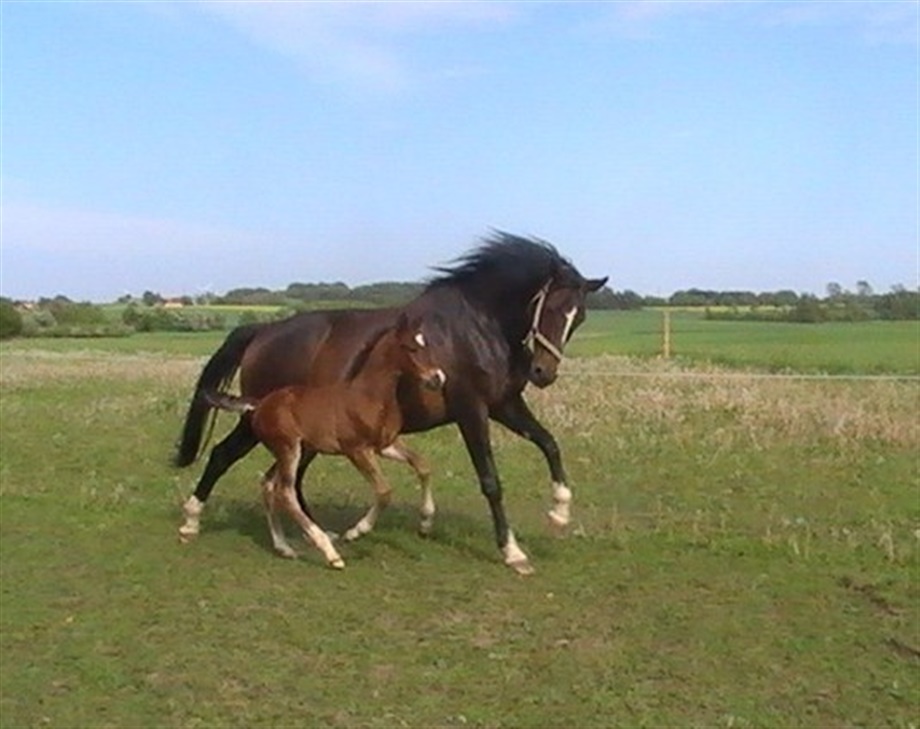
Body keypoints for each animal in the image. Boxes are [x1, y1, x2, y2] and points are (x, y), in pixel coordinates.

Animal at [204, 313, 446, 568]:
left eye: (426, 345)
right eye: (410, 348)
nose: (438, 378)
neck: (369, 396)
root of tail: (259, 404)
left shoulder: (385, 445)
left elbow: (422, 465)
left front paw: (425, 523)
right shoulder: (356, 450)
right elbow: (384, 491)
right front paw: (355, 532)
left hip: (294, 451)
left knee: (269, 484)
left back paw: (283, 547)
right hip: (289, 449)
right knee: (285, 492)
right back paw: (329, 552)